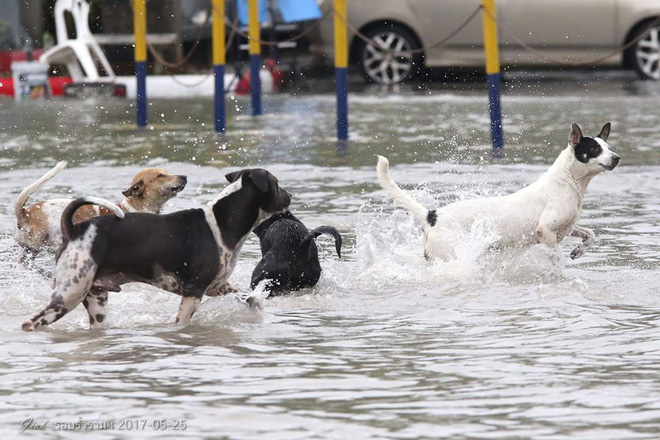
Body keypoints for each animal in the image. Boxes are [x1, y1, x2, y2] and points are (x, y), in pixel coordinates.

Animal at [378, 123, 620, 262]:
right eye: (594, 149)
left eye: (607, 146)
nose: (617, 158)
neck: (568, 182)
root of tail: (431, 215)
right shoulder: (545, 231)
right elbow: (553, 257)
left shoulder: (568, 227)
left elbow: (590, 234)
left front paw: (579, 250)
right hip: (449, 252)